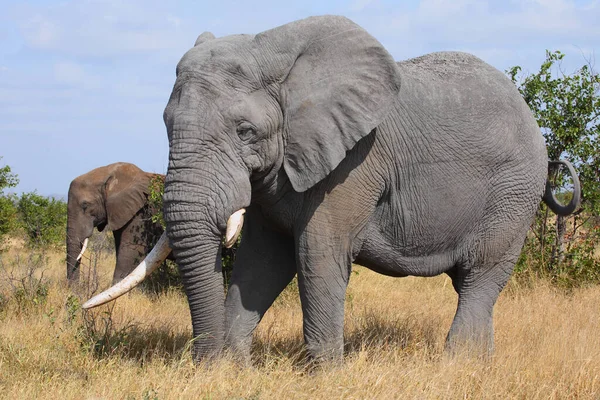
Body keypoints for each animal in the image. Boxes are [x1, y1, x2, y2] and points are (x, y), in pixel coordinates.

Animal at [82, 16, 580, 362]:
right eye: (167, 125)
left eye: (245, 132)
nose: (202, 362)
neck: (278, 55)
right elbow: (262, 261)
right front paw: (233, 370)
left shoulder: (354, 163)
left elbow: (316, 256)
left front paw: (323, 376)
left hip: (513, 193)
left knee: (480, 276)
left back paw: (457, 368)